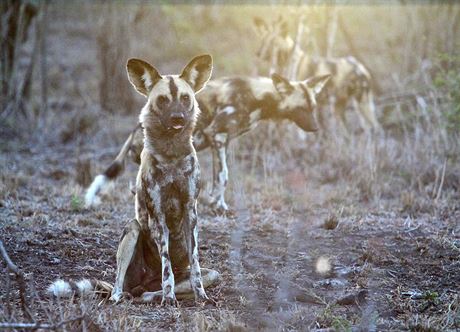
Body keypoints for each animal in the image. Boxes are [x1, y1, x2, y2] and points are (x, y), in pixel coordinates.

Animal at [85, 72, 330, 213]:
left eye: (313, 107)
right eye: (301, 108)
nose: (316, 128)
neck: (258, 97)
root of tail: (137, 127)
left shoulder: (221, 141)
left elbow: (219, 178)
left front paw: (216, 203)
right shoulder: (218, 137)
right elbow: (224, 176)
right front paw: (218, 206)